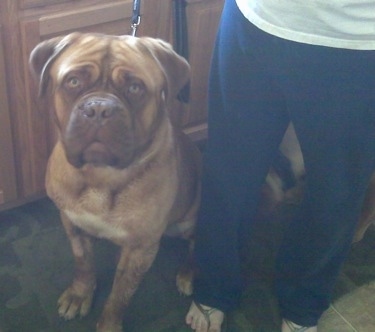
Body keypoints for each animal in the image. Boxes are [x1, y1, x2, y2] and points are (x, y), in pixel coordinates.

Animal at [28, 32, 203, 330]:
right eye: (73, 82)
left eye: (135, 88)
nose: (99, 108)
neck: (100, 176)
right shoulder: (72, 223)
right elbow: (83, 264)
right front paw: (80, 294)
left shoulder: (140, 250)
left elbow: (121, 294)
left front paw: (109, 323)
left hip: (191, 218)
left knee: (197, 244)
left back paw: (189, 273)